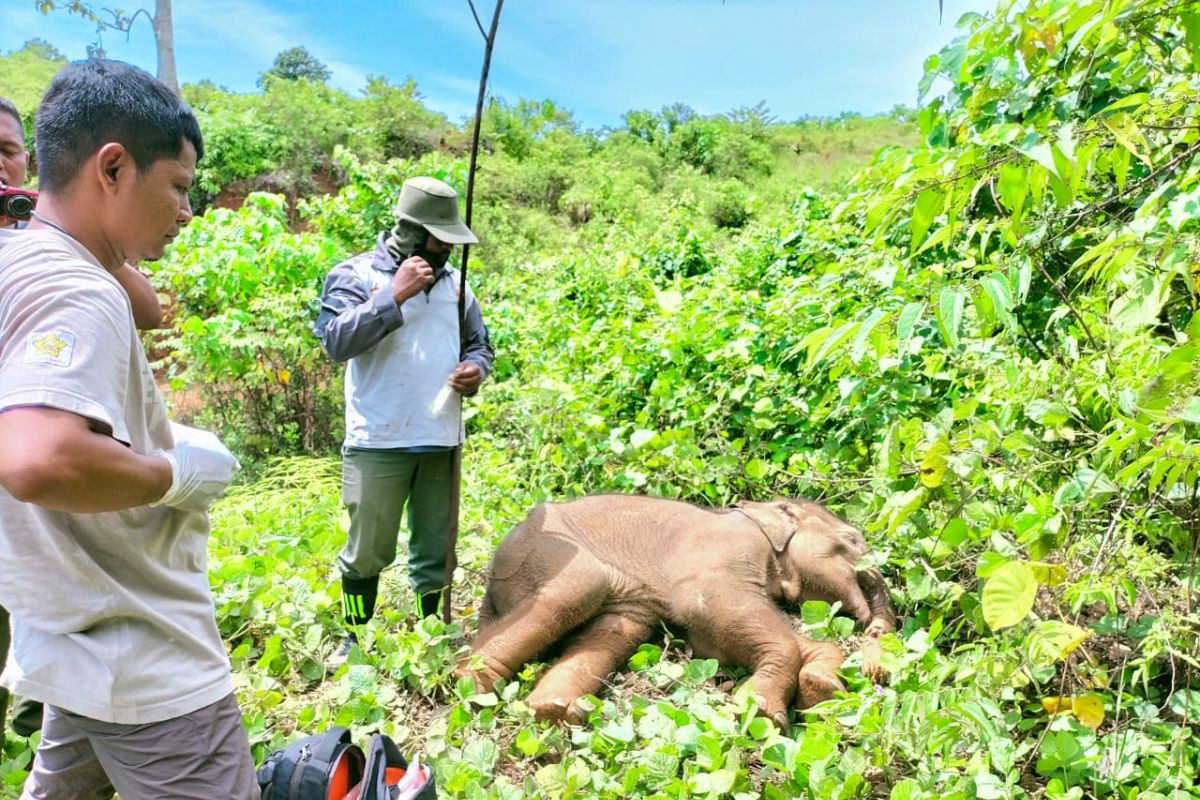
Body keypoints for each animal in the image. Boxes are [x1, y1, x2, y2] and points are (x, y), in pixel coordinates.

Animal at [456, 491, 892, 729]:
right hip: (539, 551)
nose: (872, 629)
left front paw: (822, 685)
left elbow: (713, 637)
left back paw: (552, 711)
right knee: (580, 586)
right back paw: (469, 687)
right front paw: (761, 713)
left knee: (618, 629)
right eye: (853, 540)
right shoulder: (726, 547)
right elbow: (707, 602)